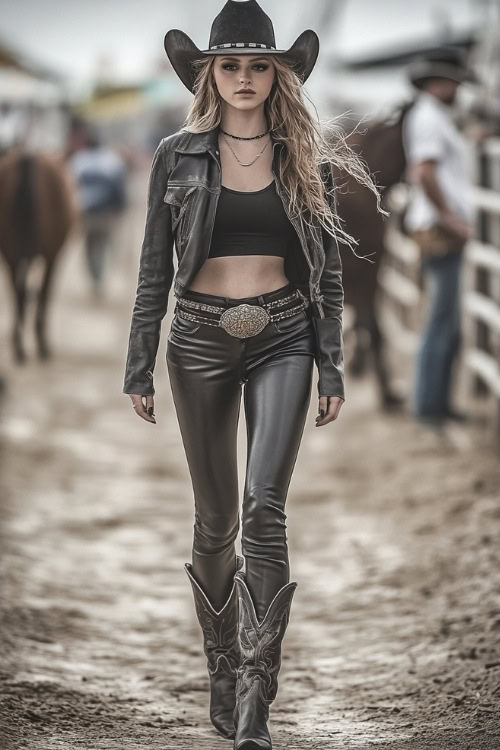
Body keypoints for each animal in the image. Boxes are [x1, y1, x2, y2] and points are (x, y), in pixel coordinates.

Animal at [0, 148, 76, 362]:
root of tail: (28, 158)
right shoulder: (54, 256)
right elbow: (44, 293)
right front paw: (42, 342)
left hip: (9, 251)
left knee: (18, 292)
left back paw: (18, 346)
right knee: (30, 292)